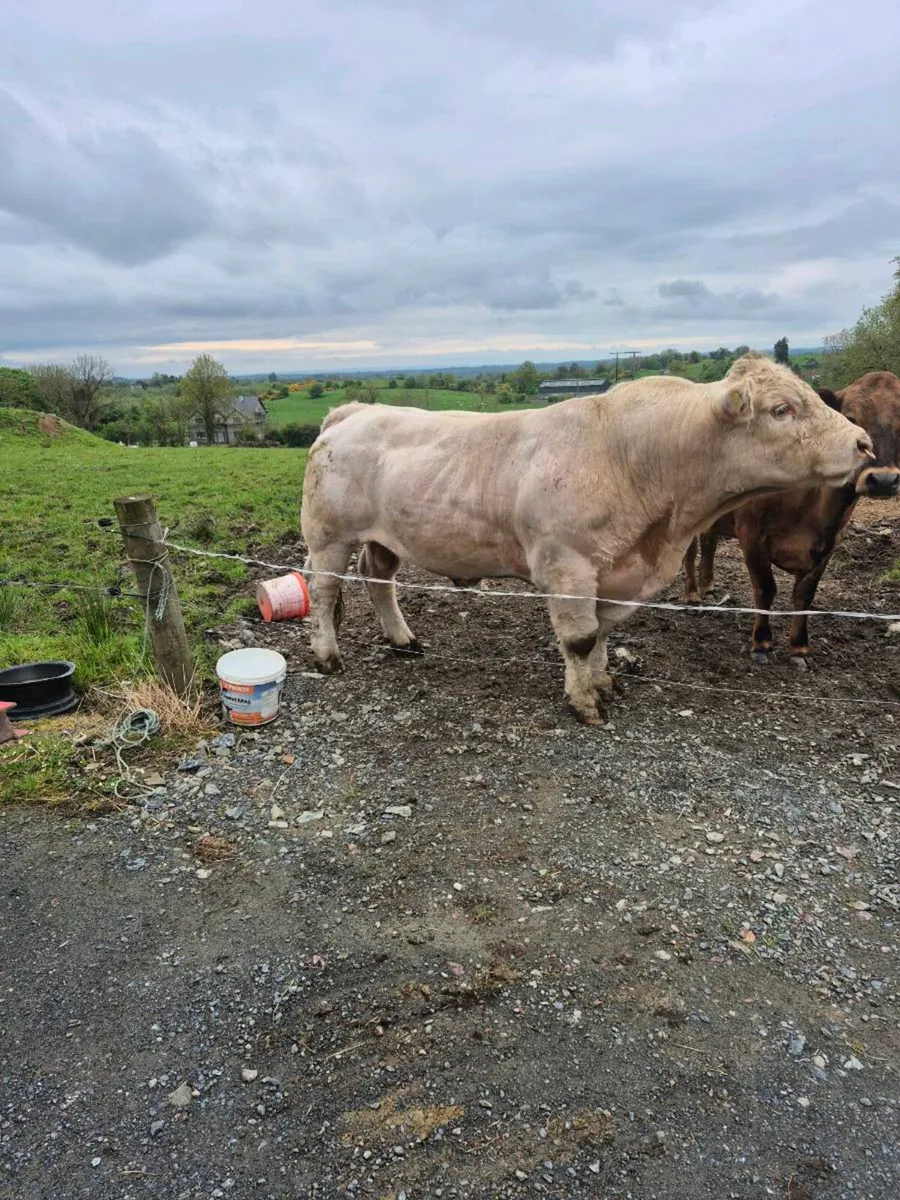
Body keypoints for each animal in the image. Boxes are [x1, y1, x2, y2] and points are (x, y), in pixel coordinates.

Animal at [300, 353, 873, 725]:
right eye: (782, 409)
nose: (865, 443)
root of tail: (354, 411)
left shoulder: (619, 573)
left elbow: (601, 634)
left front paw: (602, 682)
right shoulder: (568, 564)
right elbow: (578, 638)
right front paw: (585, 704)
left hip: (384, 538)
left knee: (378, 579)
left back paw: (403, 639)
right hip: (328, 537)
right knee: (326, 593)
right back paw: (328, 655)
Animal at [681, 370, 900, 666]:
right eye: (851, 419)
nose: (884, 481)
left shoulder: (829, 544)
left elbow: (804, 595)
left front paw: (799, 646)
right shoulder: (752, 535)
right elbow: (766, 588)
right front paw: (761, 643)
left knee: (709, 543)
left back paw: (707, 586)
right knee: (690, 551)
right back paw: (693, 593)